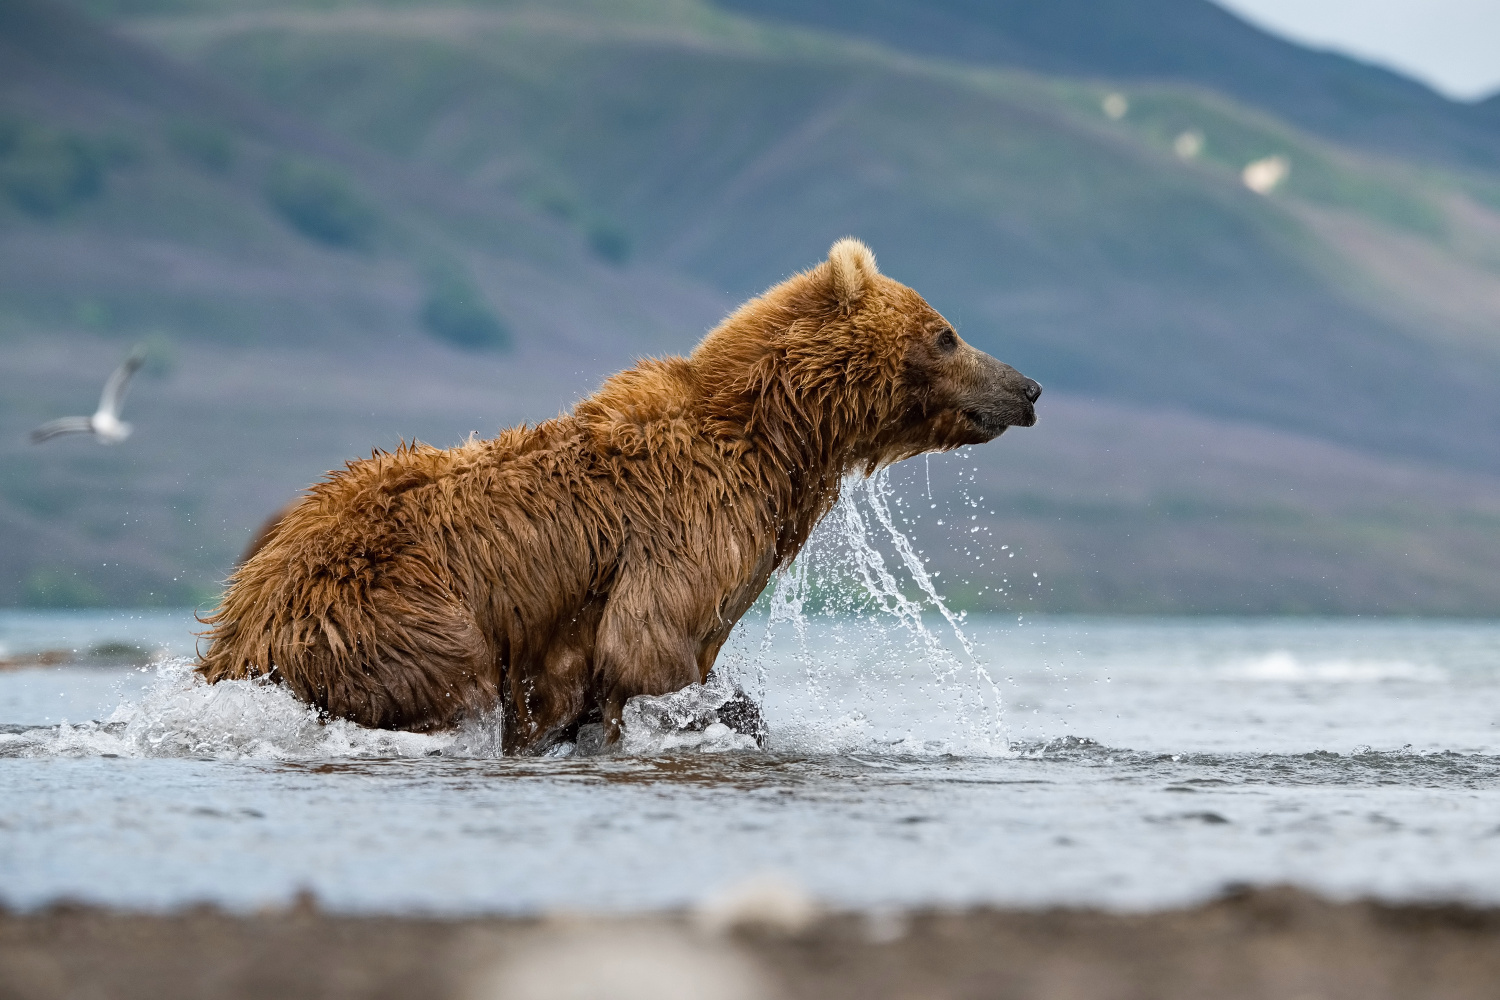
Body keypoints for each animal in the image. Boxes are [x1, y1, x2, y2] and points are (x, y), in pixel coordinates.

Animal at [196, 239, 1044, 749]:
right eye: (945, 333)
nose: (1027, 388)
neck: (779, 441)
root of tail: (243, 618)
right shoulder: (683, 526)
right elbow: (647, 648)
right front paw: (728, 717)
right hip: (390, 610)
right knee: (456, 678)